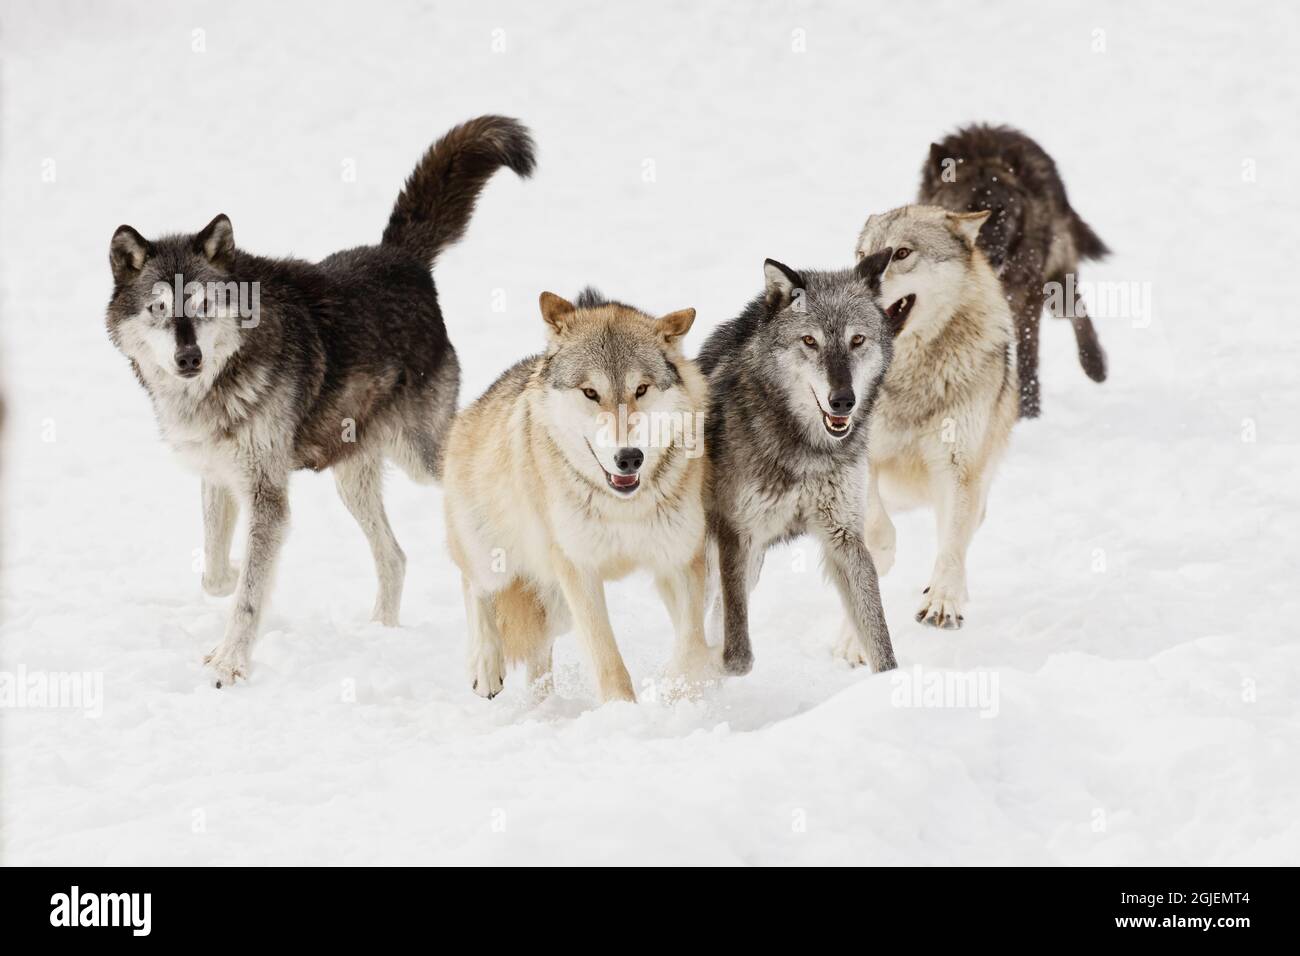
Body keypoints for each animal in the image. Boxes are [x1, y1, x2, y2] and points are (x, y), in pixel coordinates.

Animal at [105, 115, 536, 686]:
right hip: (351, 478)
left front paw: (230, 664)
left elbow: (246, 597)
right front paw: (235, 574)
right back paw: (380, 633)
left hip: (419, 458)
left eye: (203, 304)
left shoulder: (266, 493)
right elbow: (216, 573)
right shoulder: (218, 476)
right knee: (395, 556)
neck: (219, 380)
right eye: (158, 308)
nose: (188, 357)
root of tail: (400, 258)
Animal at [442, 289, 710, 703]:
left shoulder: (680, 561)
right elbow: (608, 661)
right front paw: (623, 711)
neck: (622, 508)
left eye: (641, 389)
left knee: (539, 655)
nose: (629, 457)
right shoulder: (579, 569)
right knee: (474, 586)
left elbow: (693, 644)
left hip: (555, 604)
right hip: (497, 562)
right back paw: (486, 668)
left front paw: (680, 694)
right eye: (590, 392)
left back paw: (543, 705)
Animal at [698, 251, 900, 676]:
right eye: (810, 341)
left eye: (857, 340)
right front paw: (722, 667)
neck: (808, 449)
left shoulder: (844, 536)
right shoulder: (736, 532)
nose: (843, 400)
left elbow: (877, 636)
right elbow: (738, 653)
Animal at [846, 205, 1018, 638]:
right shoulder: (861, 457)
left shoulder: (958, 468)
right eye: (861, 256)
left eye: (902, 253)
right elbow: (877, 528)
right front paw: (883, 556)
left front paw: (943, 601)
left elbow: (952, 545)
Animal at [920, 123, 1110, 418]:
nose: (993, 257)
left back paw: (1095, 365)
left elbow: (1027, 357)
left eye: (1001, 211)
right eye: (968, 209)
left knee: (1077, 311)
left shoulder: (1026, 301)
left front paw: (1029, 411)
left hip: (1054, 291)